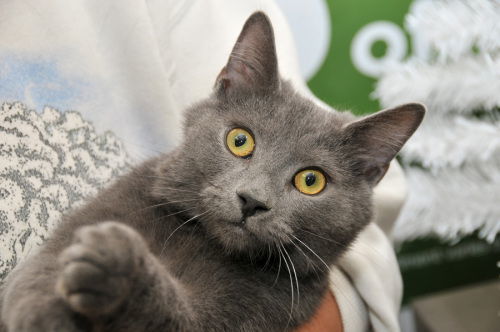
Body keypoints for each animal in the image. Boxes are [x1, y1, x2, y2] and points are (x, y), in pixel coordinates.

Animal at [0, 11, 424, 330]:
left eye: (311, 180)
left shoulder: (259, 308)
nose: (252, 200)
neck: (202, 240)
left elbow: (177, 317)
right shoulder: (99, 214)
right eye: (240, 140)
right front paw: (43, 313)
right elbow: (38, 271)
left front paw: (120, 269)